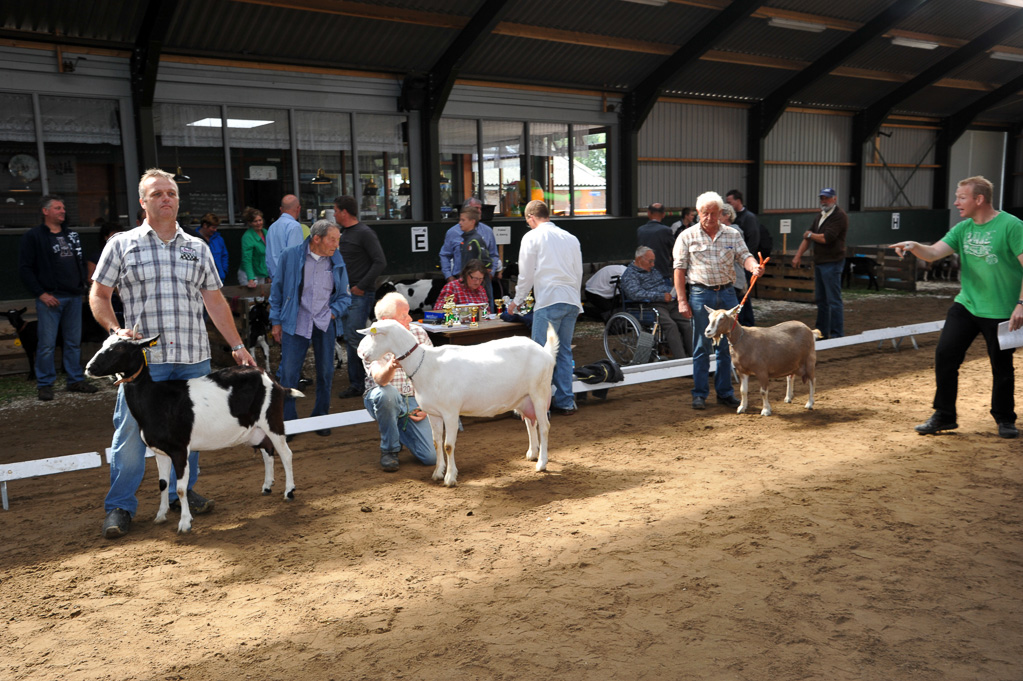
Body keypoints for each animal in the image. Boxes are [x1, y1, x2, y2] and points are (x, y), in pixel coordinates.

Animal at [85, 331, 300, 531]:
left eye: (120, 348)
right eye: (104, 344)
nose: (89, 368)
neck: (156, 399)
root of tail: (271, 378)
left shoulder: (179, 449)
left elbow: (181, 489)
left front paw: (184, 523)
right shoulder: (159, 451)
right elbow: (162, 483)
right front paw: (161, 515)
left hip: (272, 420)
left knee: (286, 453)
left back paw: (289, 492)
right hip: (254, 430)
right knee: (267, 451)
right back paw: (267, 486)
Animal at [356, 316, 556, 482]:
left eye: (375, 335)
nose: (363, 355)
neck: (426, 364)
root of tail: (545, 352)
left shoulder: (450, 412)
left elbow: (448, 445)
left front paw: (450, 477)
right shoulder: (433, 413)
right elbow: (436, 443)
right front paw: (438, 473)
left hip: (539, 392)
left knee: (544, 426)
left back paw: (542, 463)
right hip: (523, 397)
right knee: (530, 422)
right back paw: (533, 453)